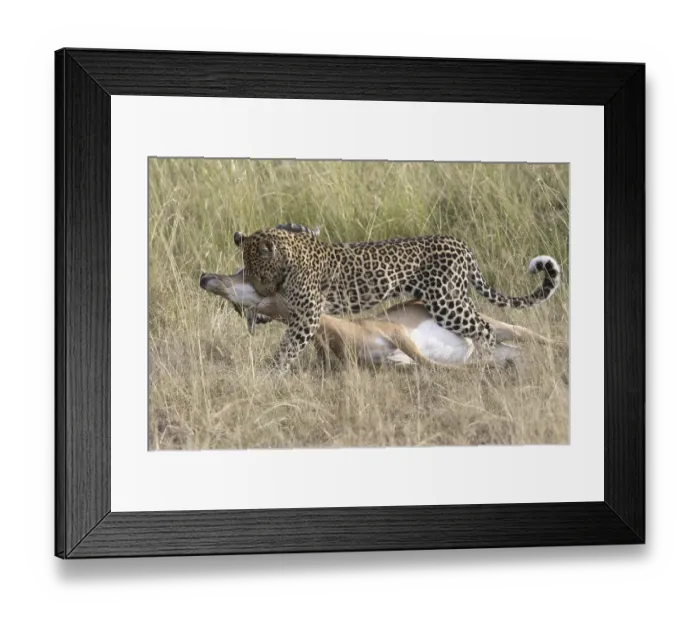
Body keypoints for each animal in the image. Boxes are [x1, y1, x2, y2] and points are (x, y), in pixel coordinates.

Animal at [233, 226, 561, 372]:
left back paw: (487, 361)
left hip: (446, 303)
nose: (259, 290)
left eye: (257, 270)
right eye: (247, 270)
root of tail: (461, 245)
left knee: (486, 330)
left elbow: (288, 346)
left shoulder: (308, 314)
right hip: (454, 301)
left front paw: (272, 372)